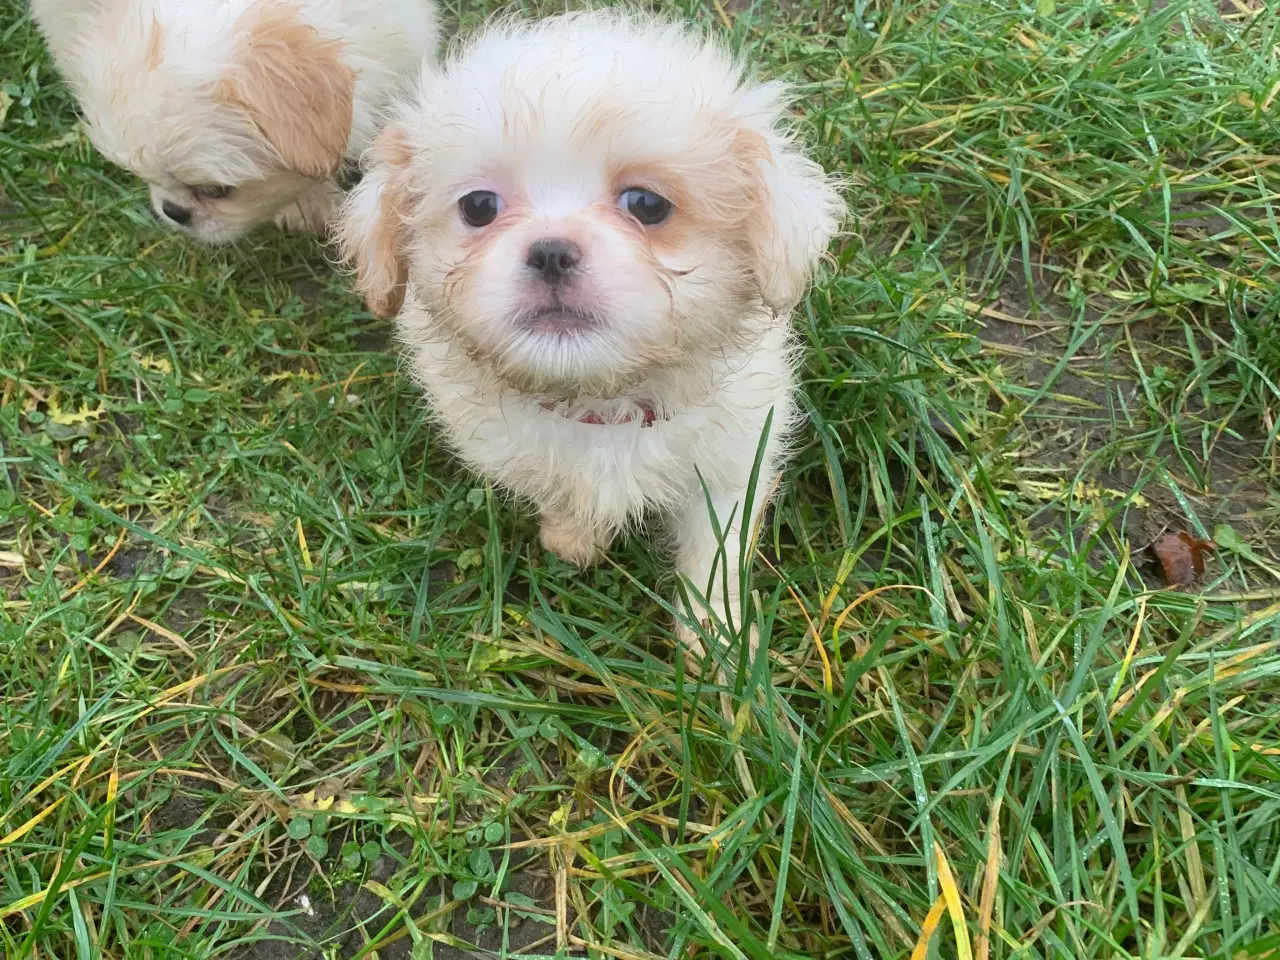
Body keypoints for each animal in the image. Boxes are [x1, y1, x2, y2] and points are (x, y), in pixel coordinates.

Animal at [335, 15, 844, 660]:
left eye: (646, 204)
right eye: (479, 206)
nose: (551, 252)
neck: (602, 405)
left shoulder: (734, 465)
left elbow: (713, 553)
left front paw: (717, 644)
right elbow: (559, 494)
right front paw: (573, 537)